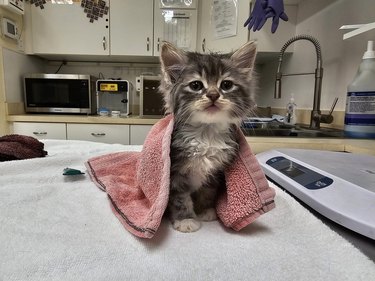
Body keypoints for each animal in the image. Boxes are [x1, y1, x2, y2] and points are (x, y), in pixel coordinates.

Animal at [159, 40, 258, 231]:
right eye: (196, 85)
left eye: (226, 85)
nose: (213, 95)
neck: (206, 134)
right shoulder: (174, 173)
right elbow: (180, 199)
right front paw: (185, 219)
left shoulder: (215, 173)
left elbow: (207, 193)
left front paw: (205, 210)